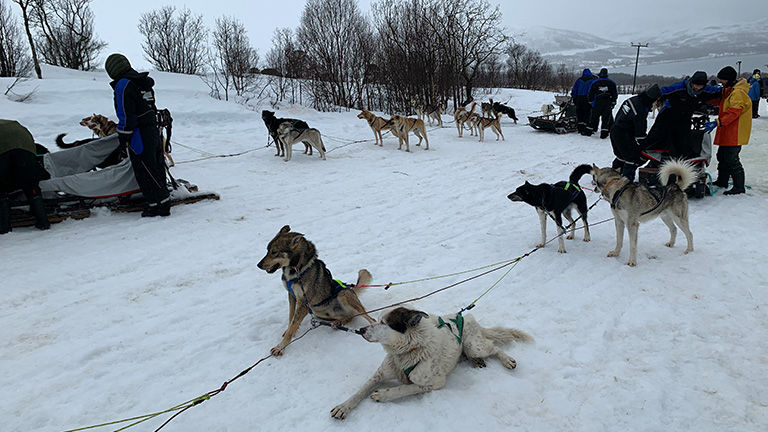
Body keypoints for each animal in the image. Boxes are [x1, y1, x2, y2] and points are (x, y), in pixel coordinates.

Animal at [258, 224, 376, 356]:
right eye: (267, 250)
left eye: (274, 252)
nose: (258, 265)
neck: (296, 270)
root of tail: (351, 288)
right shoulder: (292, 296)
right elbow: (291, 319)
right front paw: (289, 331)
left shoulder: (303, 303)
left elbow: (293, 324)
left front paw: (280, 347)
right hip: (317, 311)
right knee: (349, 316)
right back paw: (338, 322)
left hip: (343, 294)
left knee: (369, 318)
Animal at [330, 306, 536, 420]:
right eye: (376, 320)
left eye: (383, 322)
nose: (361, 330)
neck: (407, 353)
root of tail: (466, 317)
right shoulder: (380, 374)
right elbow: (360, 391)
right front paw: (343, 406)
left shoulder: (434, 383)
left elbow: (403, 388)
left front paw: (382, 394)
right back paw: (476, 361)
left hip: (474, 345)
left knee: (494, 347)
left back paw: (506, 360)